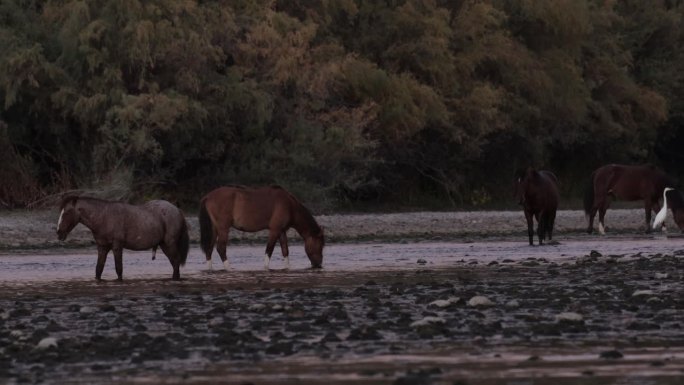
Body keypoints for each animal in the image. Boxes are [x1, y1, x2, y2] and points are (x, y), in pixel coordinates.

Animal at [55, 195, 188, 280]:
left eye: (67, 212)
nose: (59, 233)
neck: (103, 217)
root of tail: (177, 210)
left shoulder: (117, 246)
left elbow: (119, 269)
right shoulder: (102, 247)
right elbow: (99, 269)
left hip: (169, 243)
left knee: (176, 262)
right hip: (164, 244)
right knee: (174, 263)